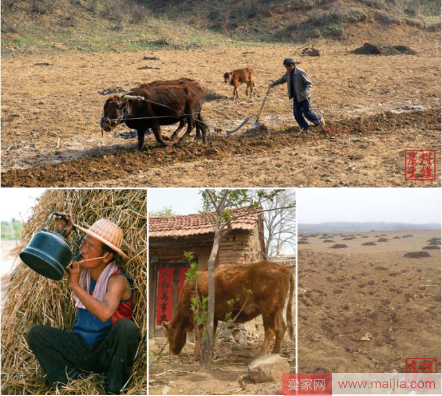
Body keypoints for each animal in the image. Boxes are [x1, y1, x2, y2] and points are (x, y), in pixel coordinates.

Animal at [162, 262, 294, 358]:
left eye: (168, 335)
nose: (171, 352)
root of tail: (283, 268)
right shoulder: (214, 317)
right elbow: (212, 334)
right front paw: (211, 354)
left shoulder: (199, 315)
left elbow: (198, 335)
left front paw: (196, 356)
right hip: (278, 309)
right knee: (281, 328)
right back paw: (274, 354)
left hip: (268, 310)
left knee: (270, 330)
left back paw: (260, 356)